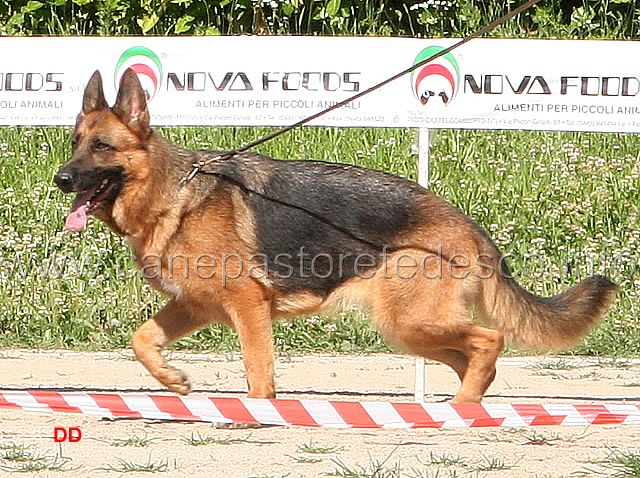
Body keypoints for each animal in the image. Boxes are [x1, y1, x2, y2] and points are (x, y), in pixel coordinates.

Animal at [56, 69, 620, 402]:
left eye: (102, 147)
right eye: (75, 142)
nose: (61, 179)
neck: (171, 193)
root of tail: (467, 225)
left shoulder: (247, 306)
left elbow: (258, 373)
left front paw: (258, 413)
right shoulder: (196, 305)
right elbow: (142, 339)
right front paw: (171, 378)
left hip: (410, 321)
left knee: (490, 340)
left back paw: (461, 409)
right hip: (409, 330)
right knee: (475, 359)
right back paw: (461, 407)